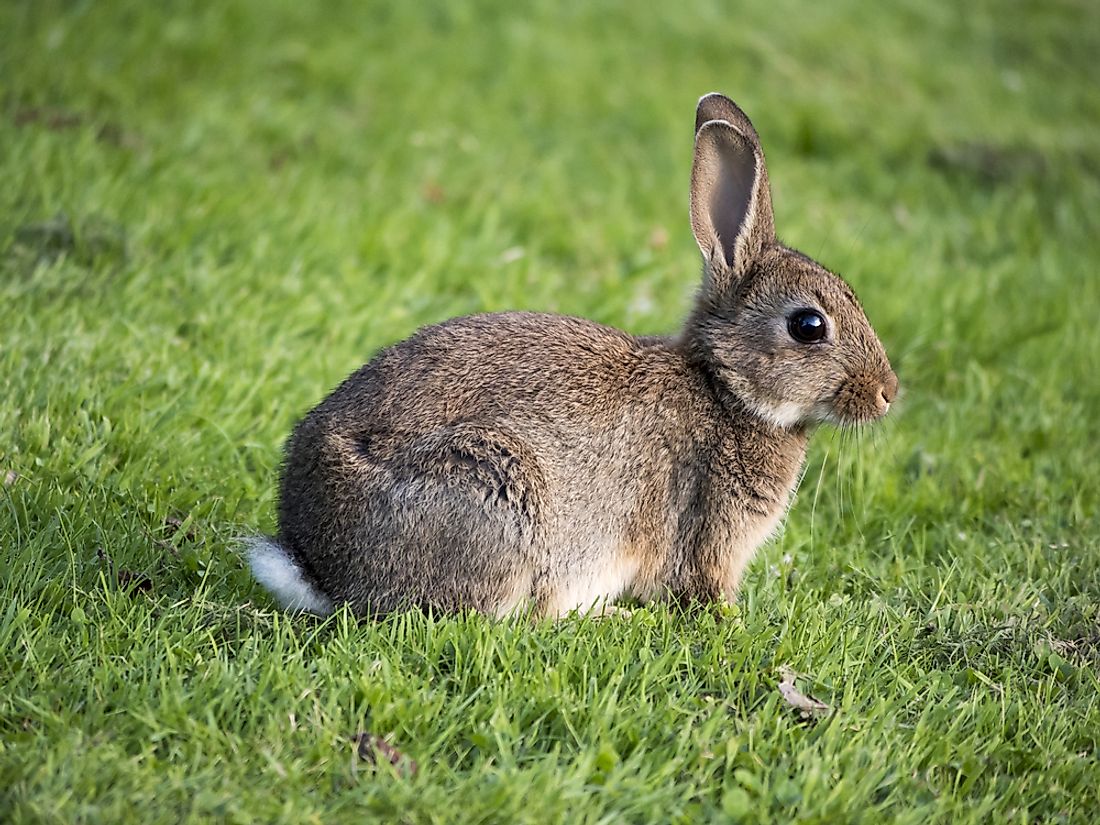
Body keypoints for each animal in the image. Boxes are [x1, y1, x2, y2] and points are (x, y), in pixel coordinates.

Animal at [247, 91, 893, 620]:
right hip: (497, 495)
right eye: (809, 325)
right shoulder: (703, 525)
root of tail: (317, 564)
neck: (724, 388)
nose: (888, 393)